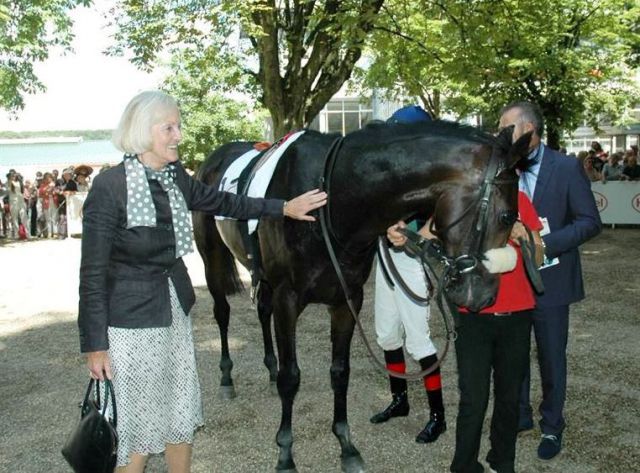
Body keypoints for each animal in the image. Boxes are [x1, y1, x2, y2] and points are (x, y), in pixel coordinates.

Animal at [194, 121, 528, 468]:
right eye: (507, 216)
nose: (485, 296)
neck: (328, 200)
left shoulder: (347, 300)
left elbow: (340, 373)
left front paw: (346, 444)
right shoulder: (288, 299)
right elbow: (291, 377)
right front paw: (285, 452)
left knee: (262, 311)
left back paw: (269, 370)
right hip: (212, 258)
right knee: (222, 313)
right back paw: (227, 378)